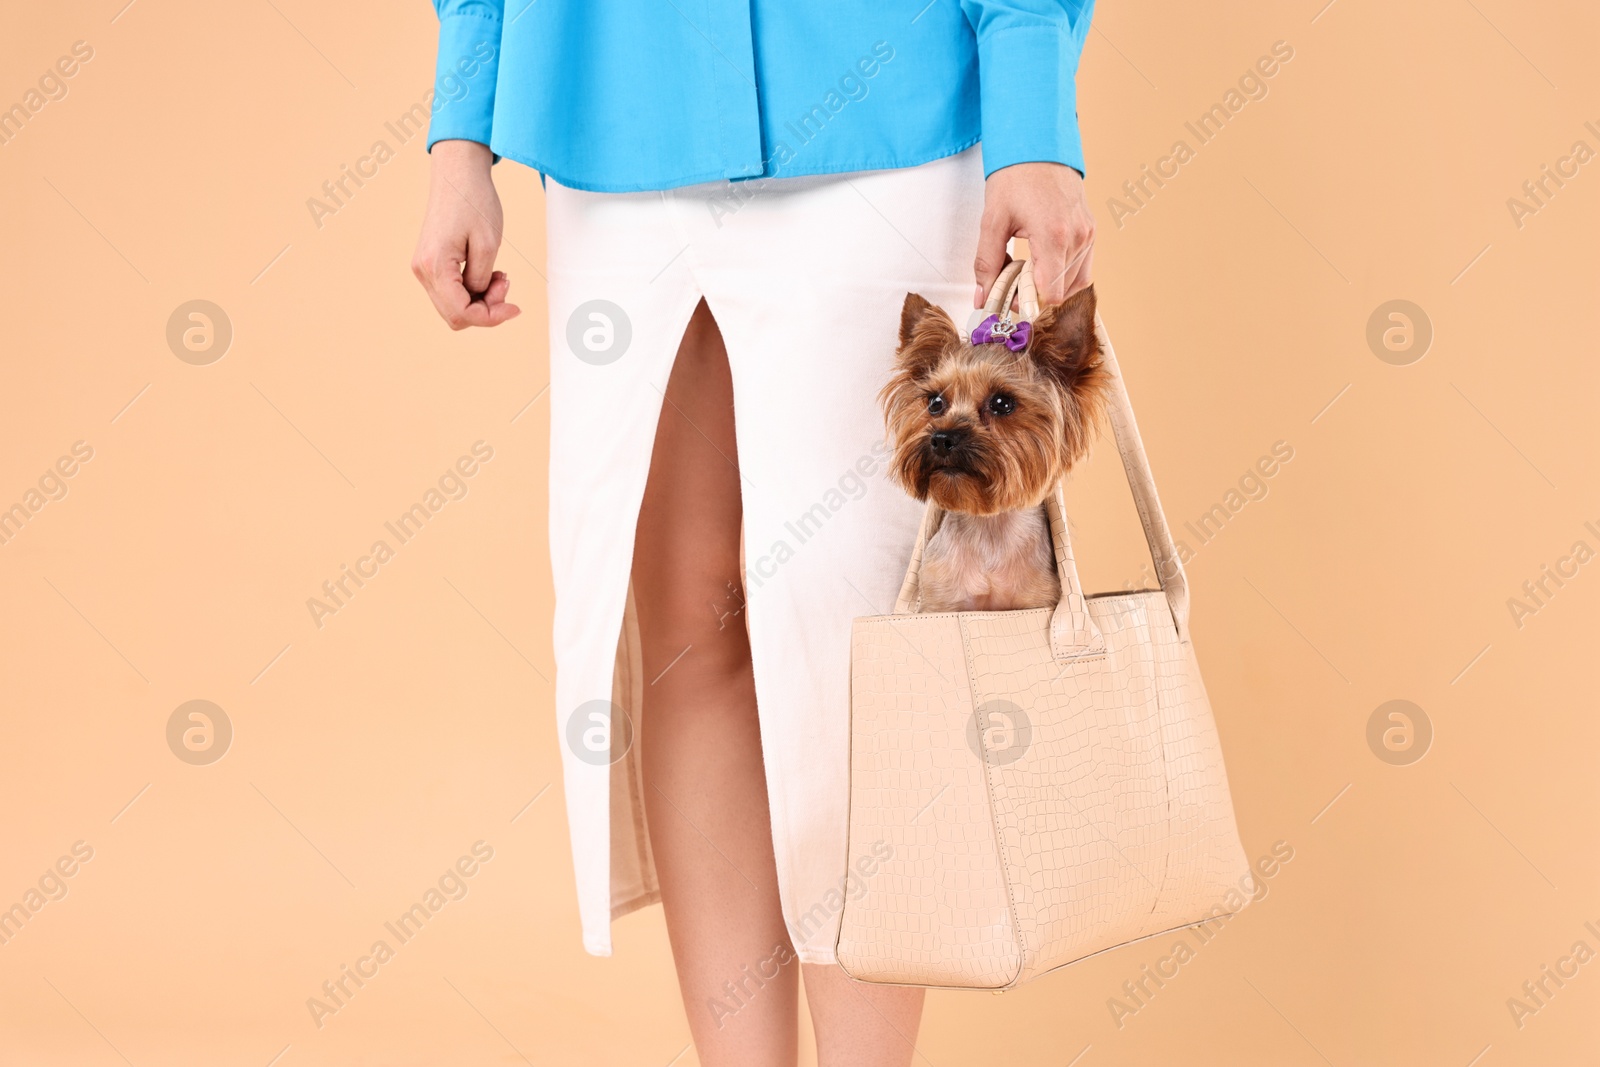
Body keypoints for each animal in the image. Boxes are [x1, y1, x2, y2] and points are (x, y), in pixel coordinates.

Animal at [876, 283, 1113, 614]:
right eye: (935, 402)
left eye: (1002, 403)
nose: (941, 438)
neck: (990, 530)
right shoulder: (941, 603)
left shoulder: (1038, 601)